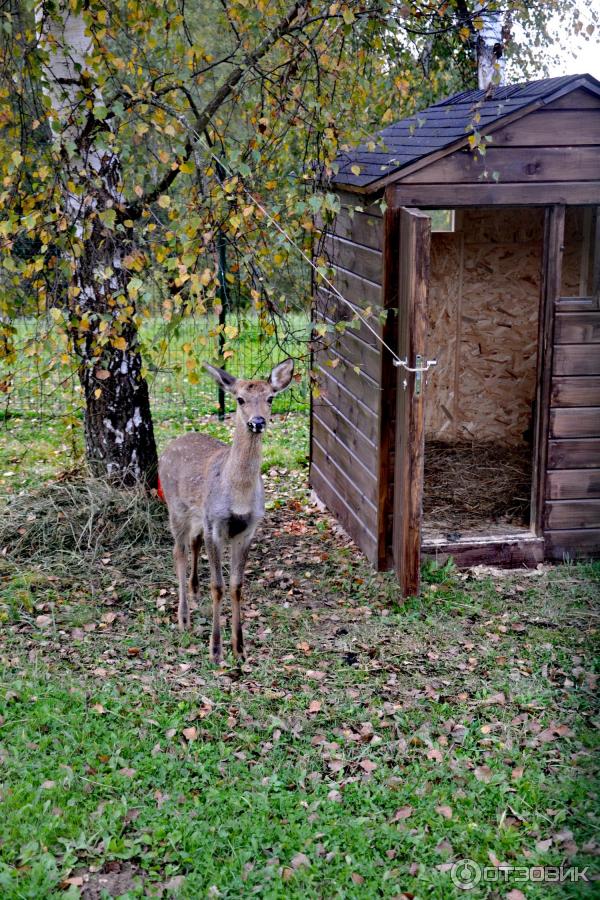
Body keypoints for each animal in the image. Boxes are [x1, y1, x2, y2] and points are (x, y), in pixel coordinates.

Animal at [156, 356, 294, 660]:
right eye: (240, 399)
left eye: (270, 398)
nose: (258, 421)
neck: (238, 497)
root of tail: (173, 442)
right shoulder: (216, 526)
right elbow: (218, 586)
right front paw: (216, 649)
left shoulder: (248, 529)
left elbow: (236, 586)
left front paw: (239, 648)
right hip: (176, 507)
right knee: (178, 552)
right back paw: (184, 618)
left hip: (198, 516)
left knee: (192, 543)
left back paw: (195, 595)